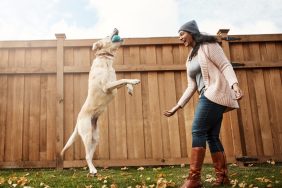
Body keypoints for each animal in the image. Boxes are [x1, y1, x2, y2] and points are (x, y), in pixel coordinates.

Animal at [61, 28, 141, 174]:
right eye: (108, 35)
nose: (115, 28)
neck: (105, 59)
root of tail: (77, 121)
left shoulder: (113, 86)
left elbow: (123, 81)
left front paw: (130, 88)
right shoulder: (107, 86)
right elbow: (123, 79)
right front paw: (134, 81)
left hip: (95, 137)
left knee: (90, 154)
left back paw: (93, 167)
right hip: (87, 134)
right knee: (87, 155)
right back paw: (92, 170)